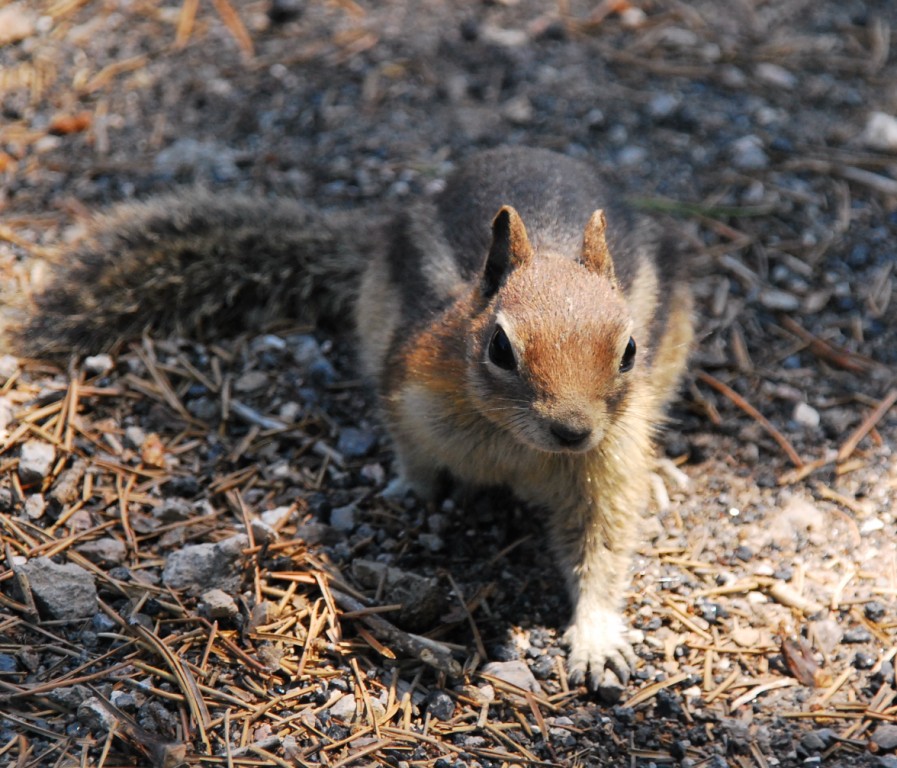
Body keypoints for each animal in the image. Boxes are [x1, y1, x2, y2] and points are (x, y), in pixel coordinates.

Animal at [16, 146, 694, 693]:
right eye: (501, 348)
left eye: (629, 349)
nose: (573, 431)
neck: (516, 443)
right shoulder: (409, 392)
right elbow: (410, 451)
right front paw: (412, 490)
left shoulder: (607, 463)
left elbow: (604, 544)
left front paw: (597, 639)